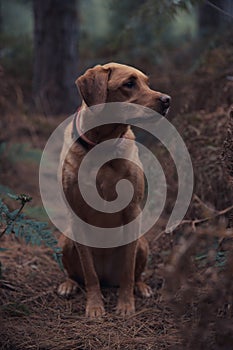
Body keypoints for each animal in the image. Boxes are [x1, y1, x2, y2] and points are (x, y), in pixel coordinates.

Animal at [57, 62, 171, 318]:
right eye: (129, 83)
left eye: (147, 83)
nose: (167, 99)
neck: (103, 144)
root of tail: (108, 278)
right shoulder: (77, 214)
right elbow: (89, 273)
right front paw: (95, 306)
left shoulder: (132, 211)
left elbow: (128, 271)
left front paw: (126, 305)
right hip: (67, 239)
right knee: (78, 274)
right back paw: (69, 285)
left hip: (142, 242)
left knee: (134, 273)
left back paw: (141, 287)